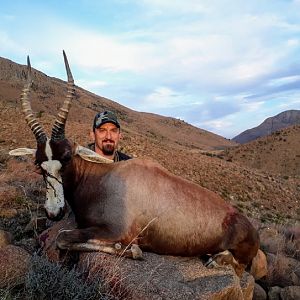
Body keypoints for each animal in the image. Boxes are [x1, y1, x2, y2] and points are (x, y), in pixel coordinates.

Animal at [10, 51, 258, 276]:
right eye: (38, 163)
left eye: (67, 157)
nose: (54, 212)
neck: (102, 178)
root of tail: (249, 226)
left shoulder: (117, 231)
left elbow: (63, 238)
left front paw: (134, 250)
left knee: (239, 267)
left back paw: (214, 261)